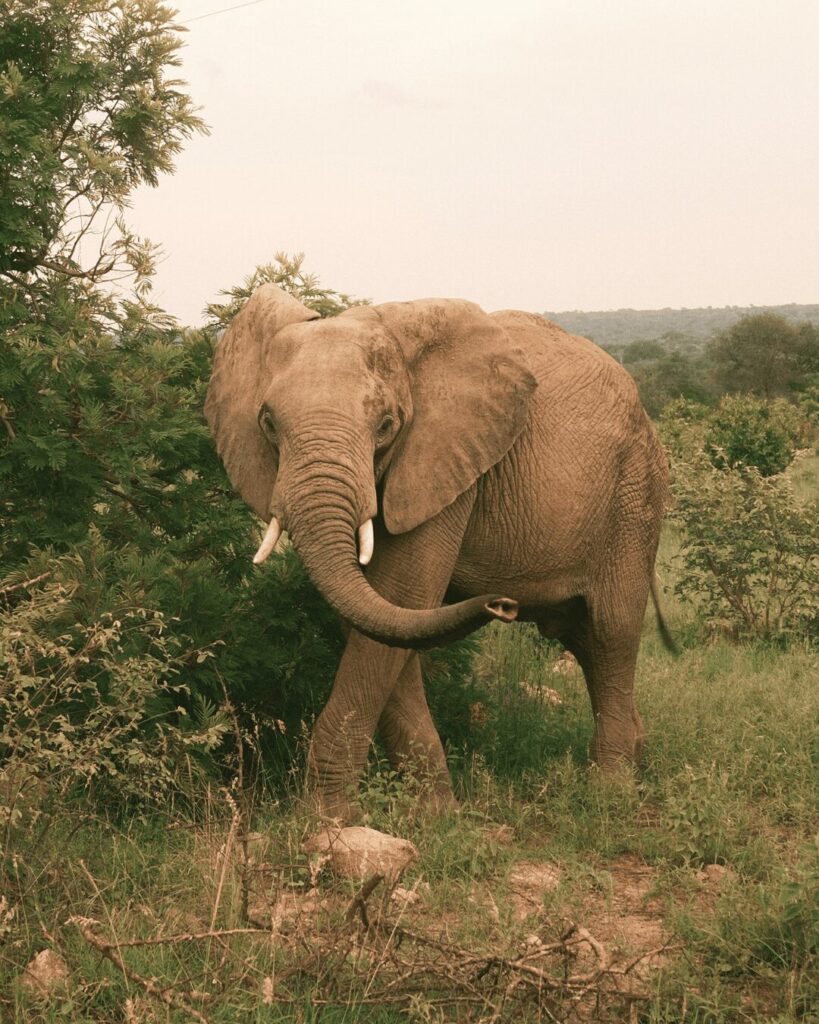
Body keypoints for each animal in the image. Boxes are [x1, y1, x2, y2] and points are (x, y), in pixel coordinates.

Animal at [205, 284, 672, 821]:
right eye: (268, 423)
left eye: (386, 425)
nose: (503, 604)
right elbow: (387, 615)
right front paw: (434, 812)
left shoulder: (444, 459)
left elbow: (403, 596)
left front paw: (329, 817)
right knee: (584, 639)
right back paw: (636, 762)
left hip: (636, 494)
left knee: (612, 631)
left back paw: (612, 790)